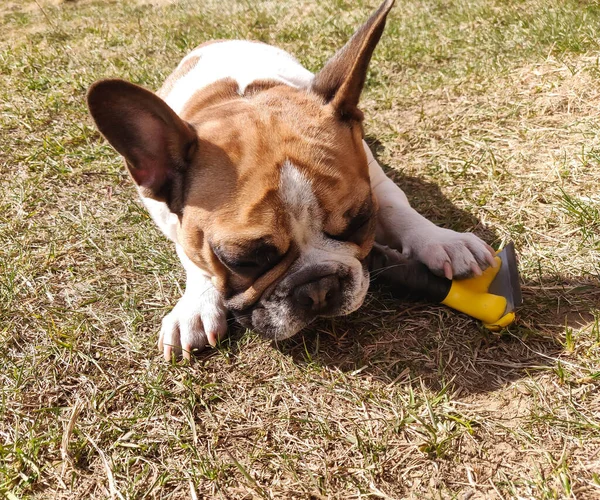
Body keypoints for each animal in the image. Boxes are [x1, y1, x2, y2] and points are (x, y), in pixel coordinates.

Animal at [85, 0, 496, 360]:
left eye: (361, 221)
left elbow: (398, 208)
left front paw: (441, 241)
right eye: (243, 260)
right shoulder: (168, 218)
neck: (241, 99)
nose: (318, 287)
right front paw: (197, 305)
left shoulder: (373, 177)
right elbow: (193, 255)